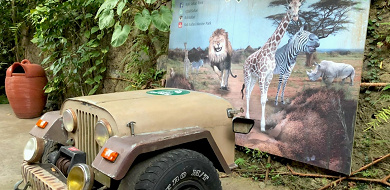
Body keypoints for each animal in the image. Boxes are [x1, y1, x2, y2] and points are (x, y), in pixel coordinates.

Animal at [241, 0, 302, 132]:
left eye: (299, 6)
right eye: (289, 6)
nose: (295, 17)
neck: (271, 51)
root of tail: (245, 61)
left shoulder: (269, 75)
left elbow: (264, 98)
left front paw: (263, 125)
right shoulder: (262, 75)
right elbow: (262, 100)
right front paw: (263, 126)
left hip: (254, 77)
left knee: (249, 92)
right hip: (247, 75)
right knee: (247, 92)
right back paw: (247, 116)